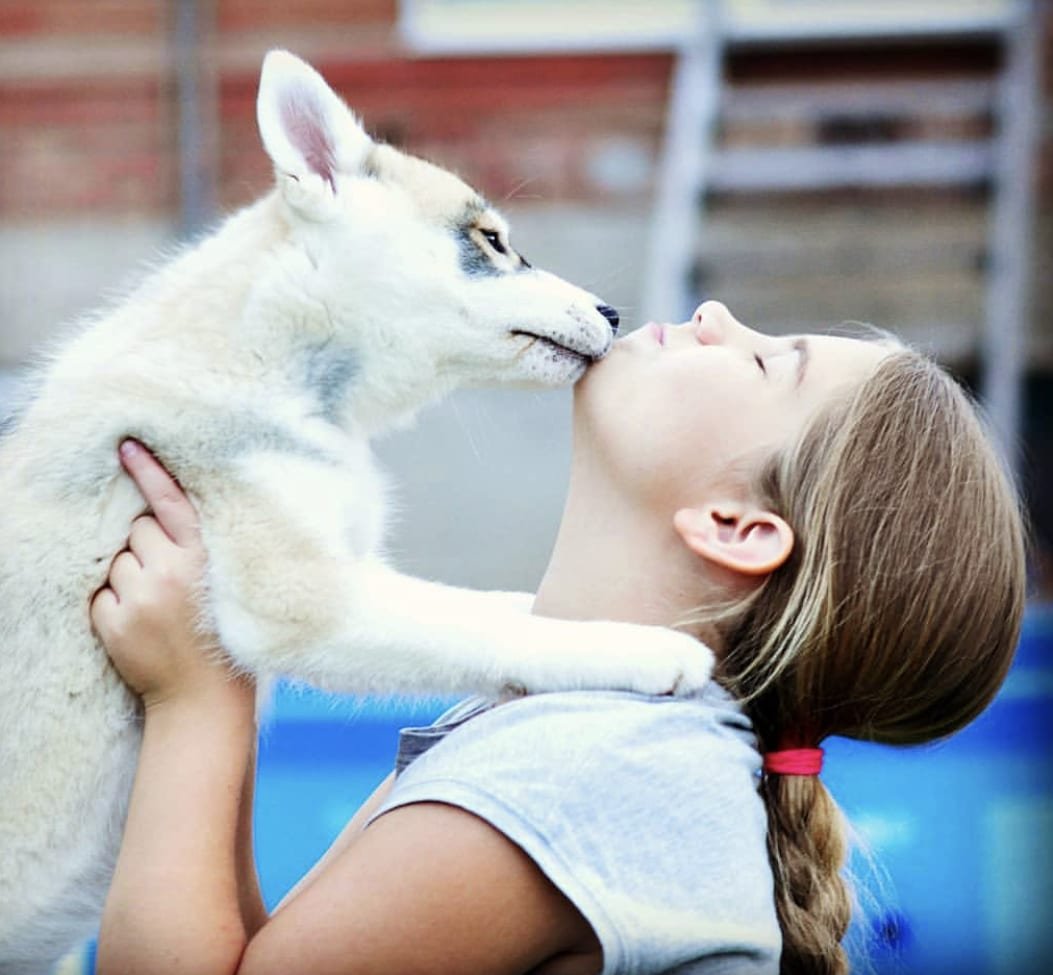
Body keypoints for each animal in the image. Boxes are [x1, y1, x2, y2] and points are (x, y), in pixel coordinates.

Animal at [0, 51, 711, 968]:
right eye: (490, 241)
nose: (613, 313)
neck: (279, 366)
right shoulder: (306, 599)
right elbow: (483, 622)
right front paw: (643, 647)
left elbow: (500, 606)